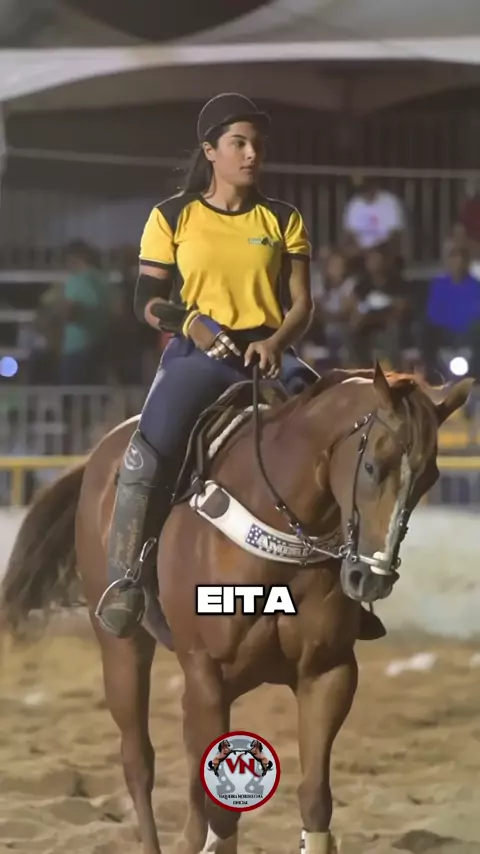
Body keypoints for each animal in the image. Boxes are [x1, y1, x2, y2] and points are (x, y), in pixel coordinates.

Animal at [0, 363, 472, 854]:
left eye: (429, 478)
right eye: (372, 466)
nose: (372, 577)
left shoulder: (328, 672)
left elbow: (314, 799)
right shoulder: (206, 673)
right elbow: (222, 814)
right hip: (123, 648)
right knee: (138, 761)